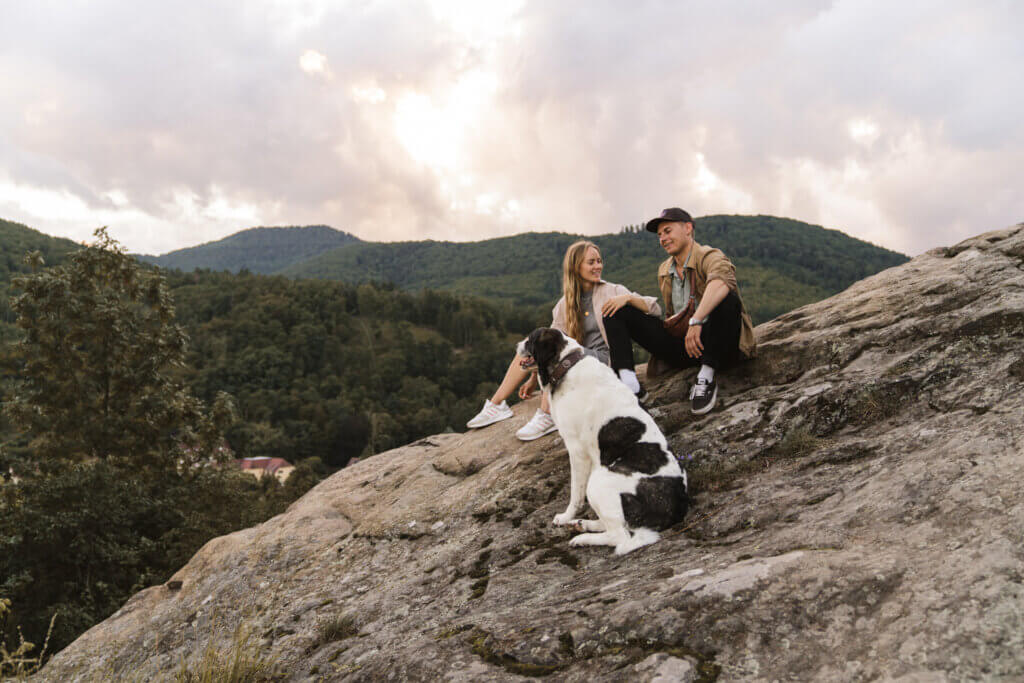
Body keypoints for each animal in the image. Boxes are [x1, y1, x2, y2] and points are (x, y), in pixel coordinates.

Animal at [520, 327, 688, 557]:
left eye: (530, 339)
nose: (518, 345)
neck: (567, 364)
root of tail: (678, 504)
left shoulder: (576, 450)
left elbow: (575, 493)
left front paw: (565, 516)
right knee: (615, 526)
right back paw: (583, 524)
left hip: (599, 481)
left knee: (620, 537)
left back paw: (582, 538)